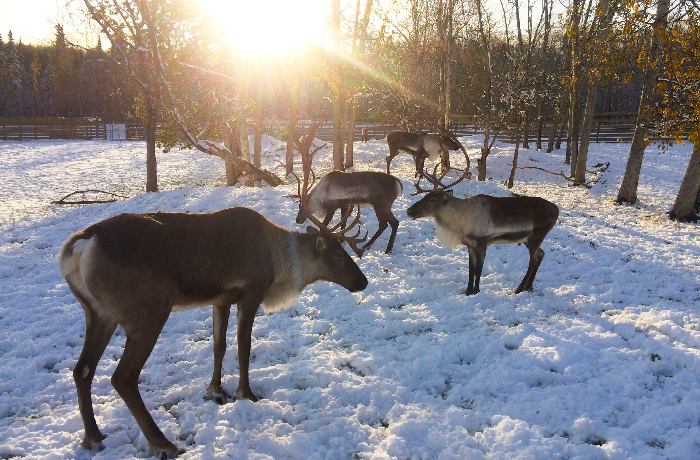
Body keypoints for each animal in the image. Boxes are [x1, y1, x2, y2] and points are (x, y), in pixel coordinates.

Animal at [58, 207, 368, 458]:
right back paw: (163, 444)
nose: (363, 282)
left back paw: (93, 437)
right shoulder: (250, 293)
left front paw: (215, 390)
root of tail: (79, 247)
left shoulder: (221, 299)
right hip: (148, 312)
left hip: (99, 314)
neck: (279, 265)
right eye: (338, 255)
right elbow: (243, 346)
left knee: (82, 369)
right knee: (123, 377)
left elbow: (219, 346)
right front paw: (246, 393)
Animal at [406, 168, 559, 295]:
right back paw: (528, 287)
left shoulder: (482, 243)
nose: (409, 210)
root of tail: (557, 209)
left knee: (533, 260)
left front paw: (476, 291)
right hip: (527, 239)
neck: (459, 222)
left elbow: (478, 269)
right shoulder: (470, 245)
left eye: (432, 199)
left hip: (536, 236)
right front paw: (468, 291)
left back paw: (520, 289)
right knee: (541, 254)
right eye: (425, 197)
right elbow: (471, 269)